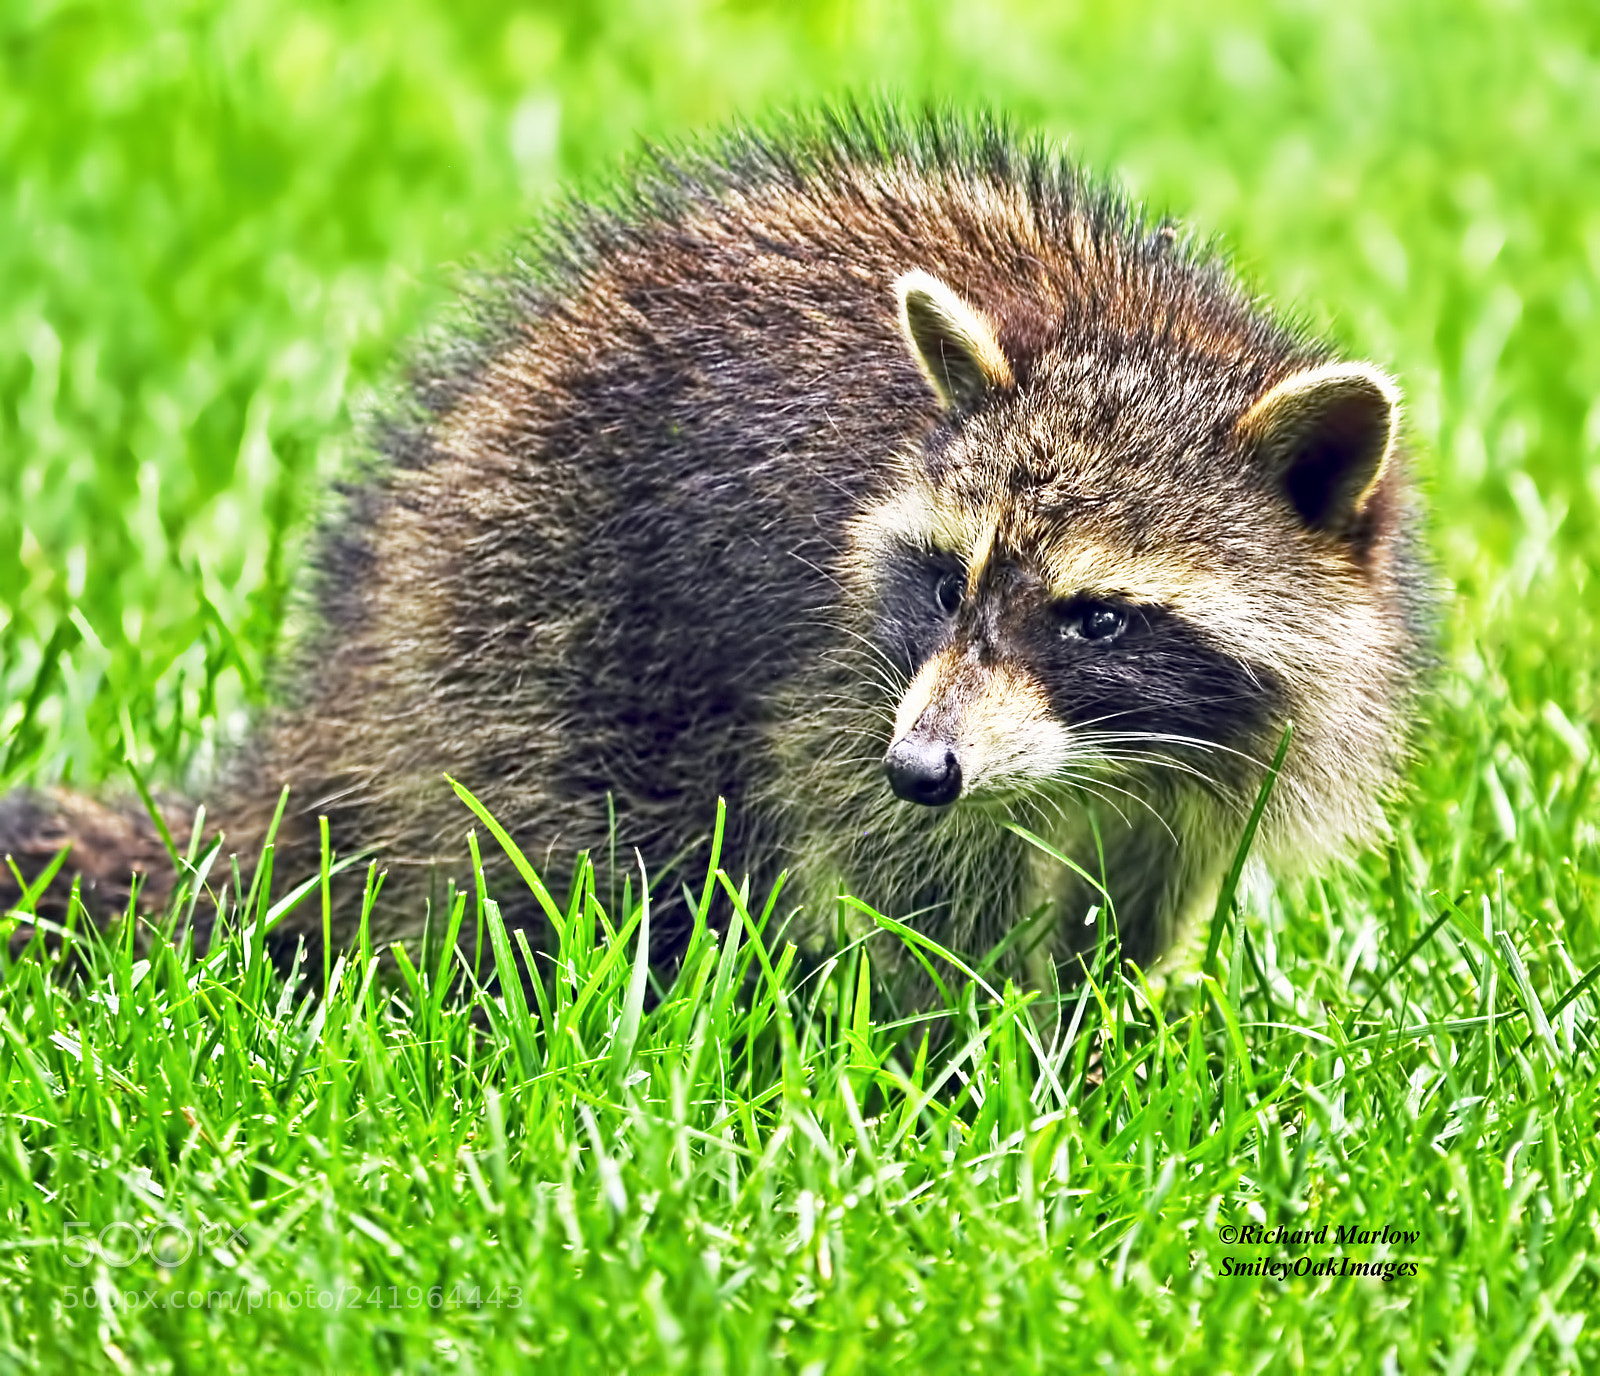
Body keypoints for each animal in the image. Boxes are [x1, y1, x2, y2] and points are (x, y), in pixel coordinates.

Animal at [1, 111, 1430, 994]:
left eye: (1095, 618)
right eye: (946, 583)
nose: (927, 766)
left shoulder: (1210, 757)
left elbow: (1139, 889)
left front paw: (1094, 1017)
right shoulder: (843, 683)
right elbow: (902, 872)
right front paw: (967, 1044)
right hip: (529, 610)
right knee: (591, 844)